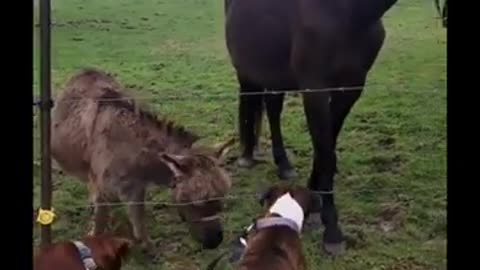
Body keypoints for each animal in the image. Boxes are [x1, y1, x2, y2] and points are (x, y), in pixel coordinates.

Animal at [225, 0, 398, 254]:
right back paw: (247, 156)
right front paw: (332, 231)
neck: (349, 13)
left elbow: (327, 145)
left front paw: (314, 197)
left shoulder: (352, 86)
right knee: (250, 100)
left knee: (273, 108)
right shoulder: (315, 89)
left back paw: (284, 164)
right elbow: (325, 152)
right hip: (247, 68)